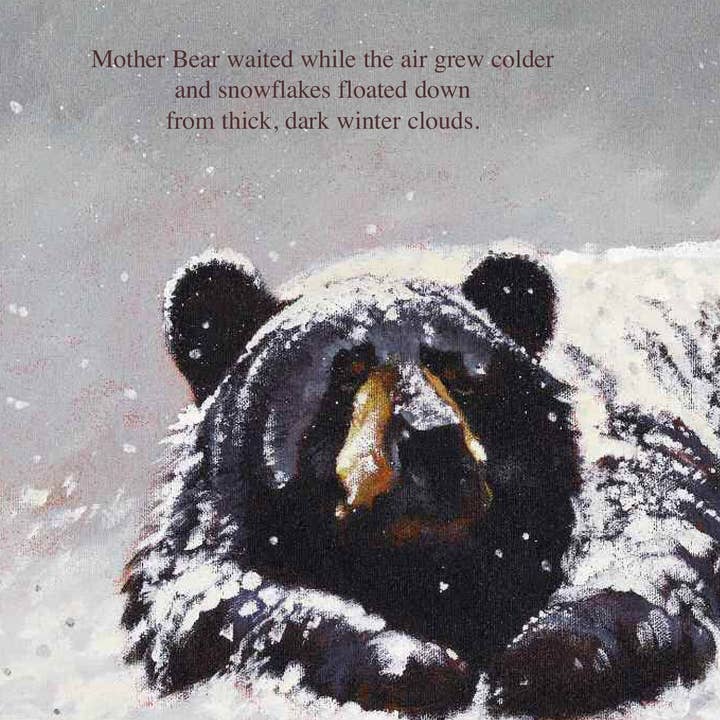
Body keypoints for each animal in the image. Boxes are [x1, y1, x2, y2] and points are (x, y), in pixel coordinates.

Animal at [122, 248, 720, 718]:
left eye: (457, 372)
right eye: (345, 374)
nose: (434, 438)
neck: (430, 566)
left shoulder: (632, 448)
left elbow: (654, 547)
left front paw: (551, 655)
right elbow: (212, 599)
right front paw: (408, 662)